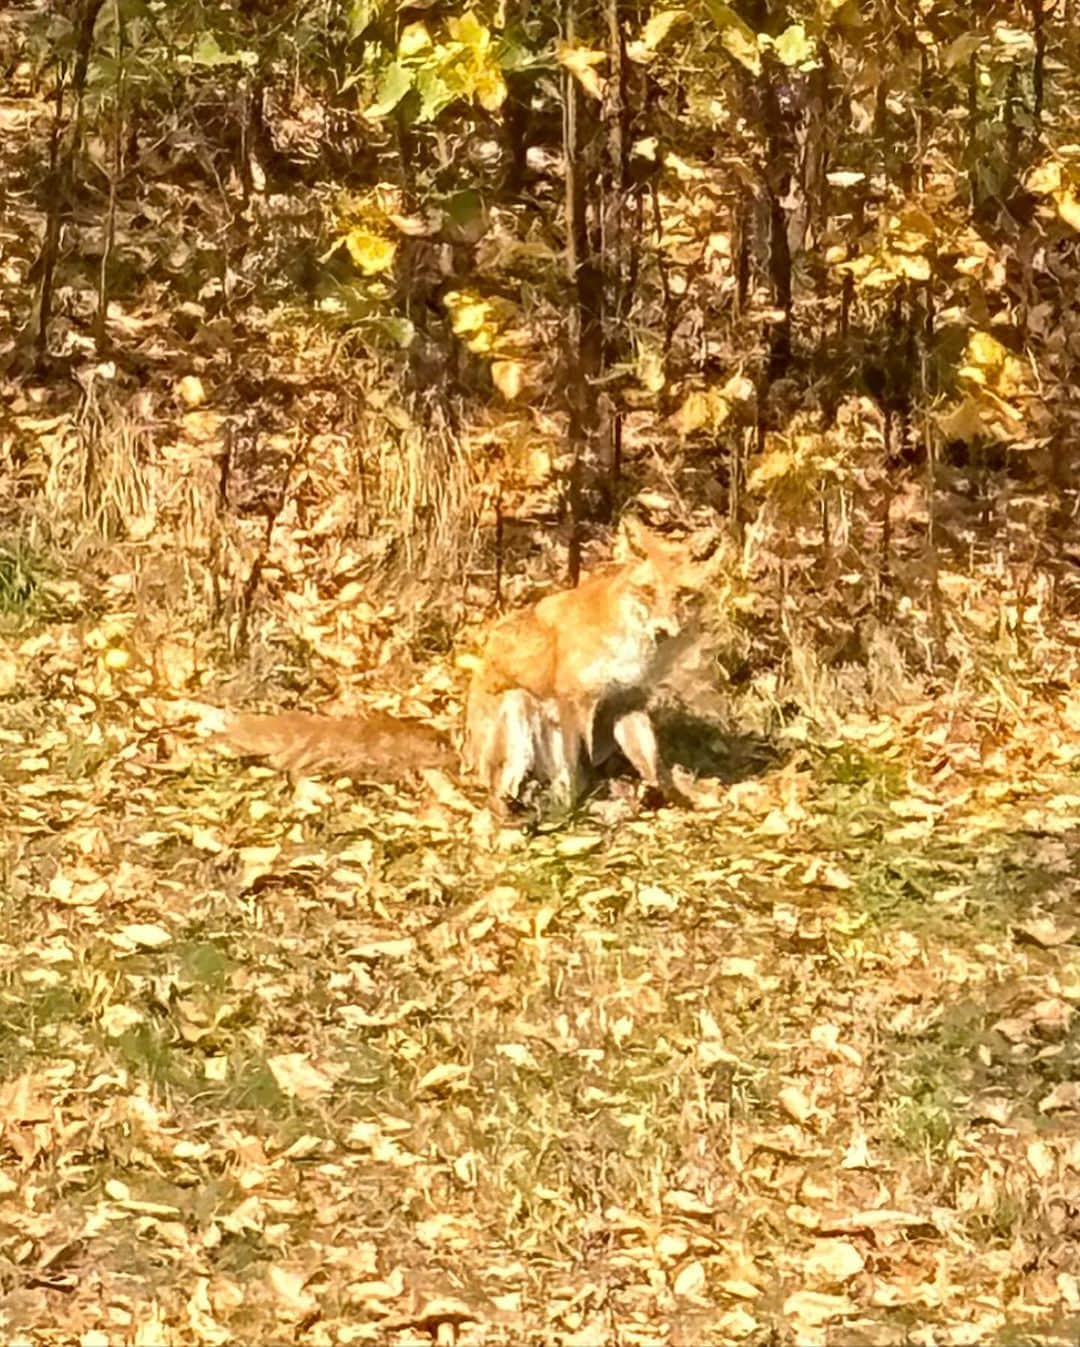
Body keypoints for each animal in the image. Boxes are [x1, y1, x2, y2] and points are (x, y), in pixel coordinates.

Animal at [465, 519, 700, 802]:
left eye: (682, 594)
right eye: (648, 591)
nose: (663, 631)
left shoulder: (625, 701)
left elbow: (652, 763)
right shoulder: (570, 697)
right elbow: (572, 770)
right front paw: (573, 806)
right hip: (518, 705)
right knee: (501, 791)